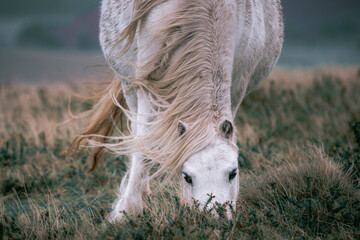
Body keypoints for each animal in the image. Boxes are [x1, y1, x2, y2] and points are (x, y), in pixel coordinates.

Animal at [71, 0, 284, 221]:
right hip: (128, 86)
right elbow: (144, 143)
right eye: (187, 177)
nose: (213, 218)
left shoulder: (239, 83)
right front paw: (127, 210)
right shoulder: (146, 83)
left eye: (233, 173)